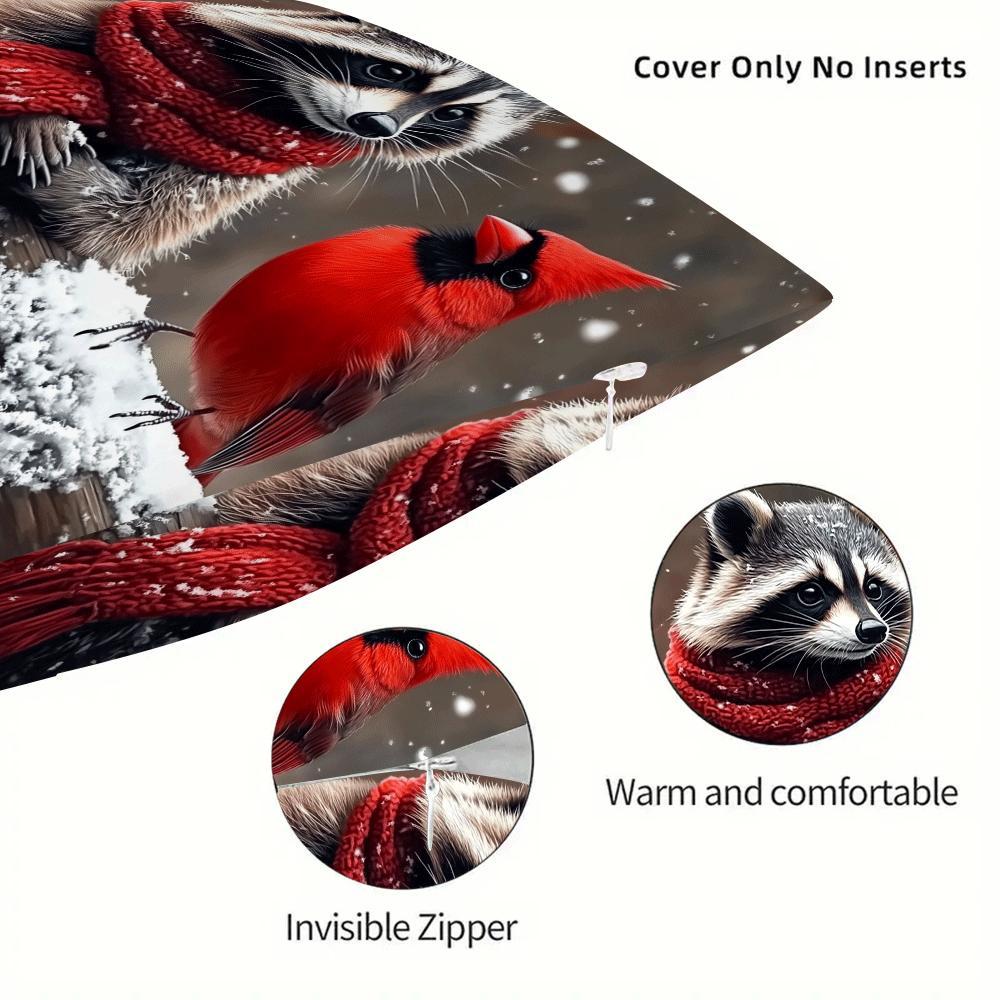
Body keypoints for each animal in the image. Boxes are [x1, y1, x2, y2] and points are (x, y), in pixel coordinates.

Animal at [0, 1, 545, 268]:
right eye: (389, 72)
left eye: (450, 116)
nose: (376, 126)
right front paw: (37, 113)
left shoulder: (270, 153)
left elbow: (117, 227)